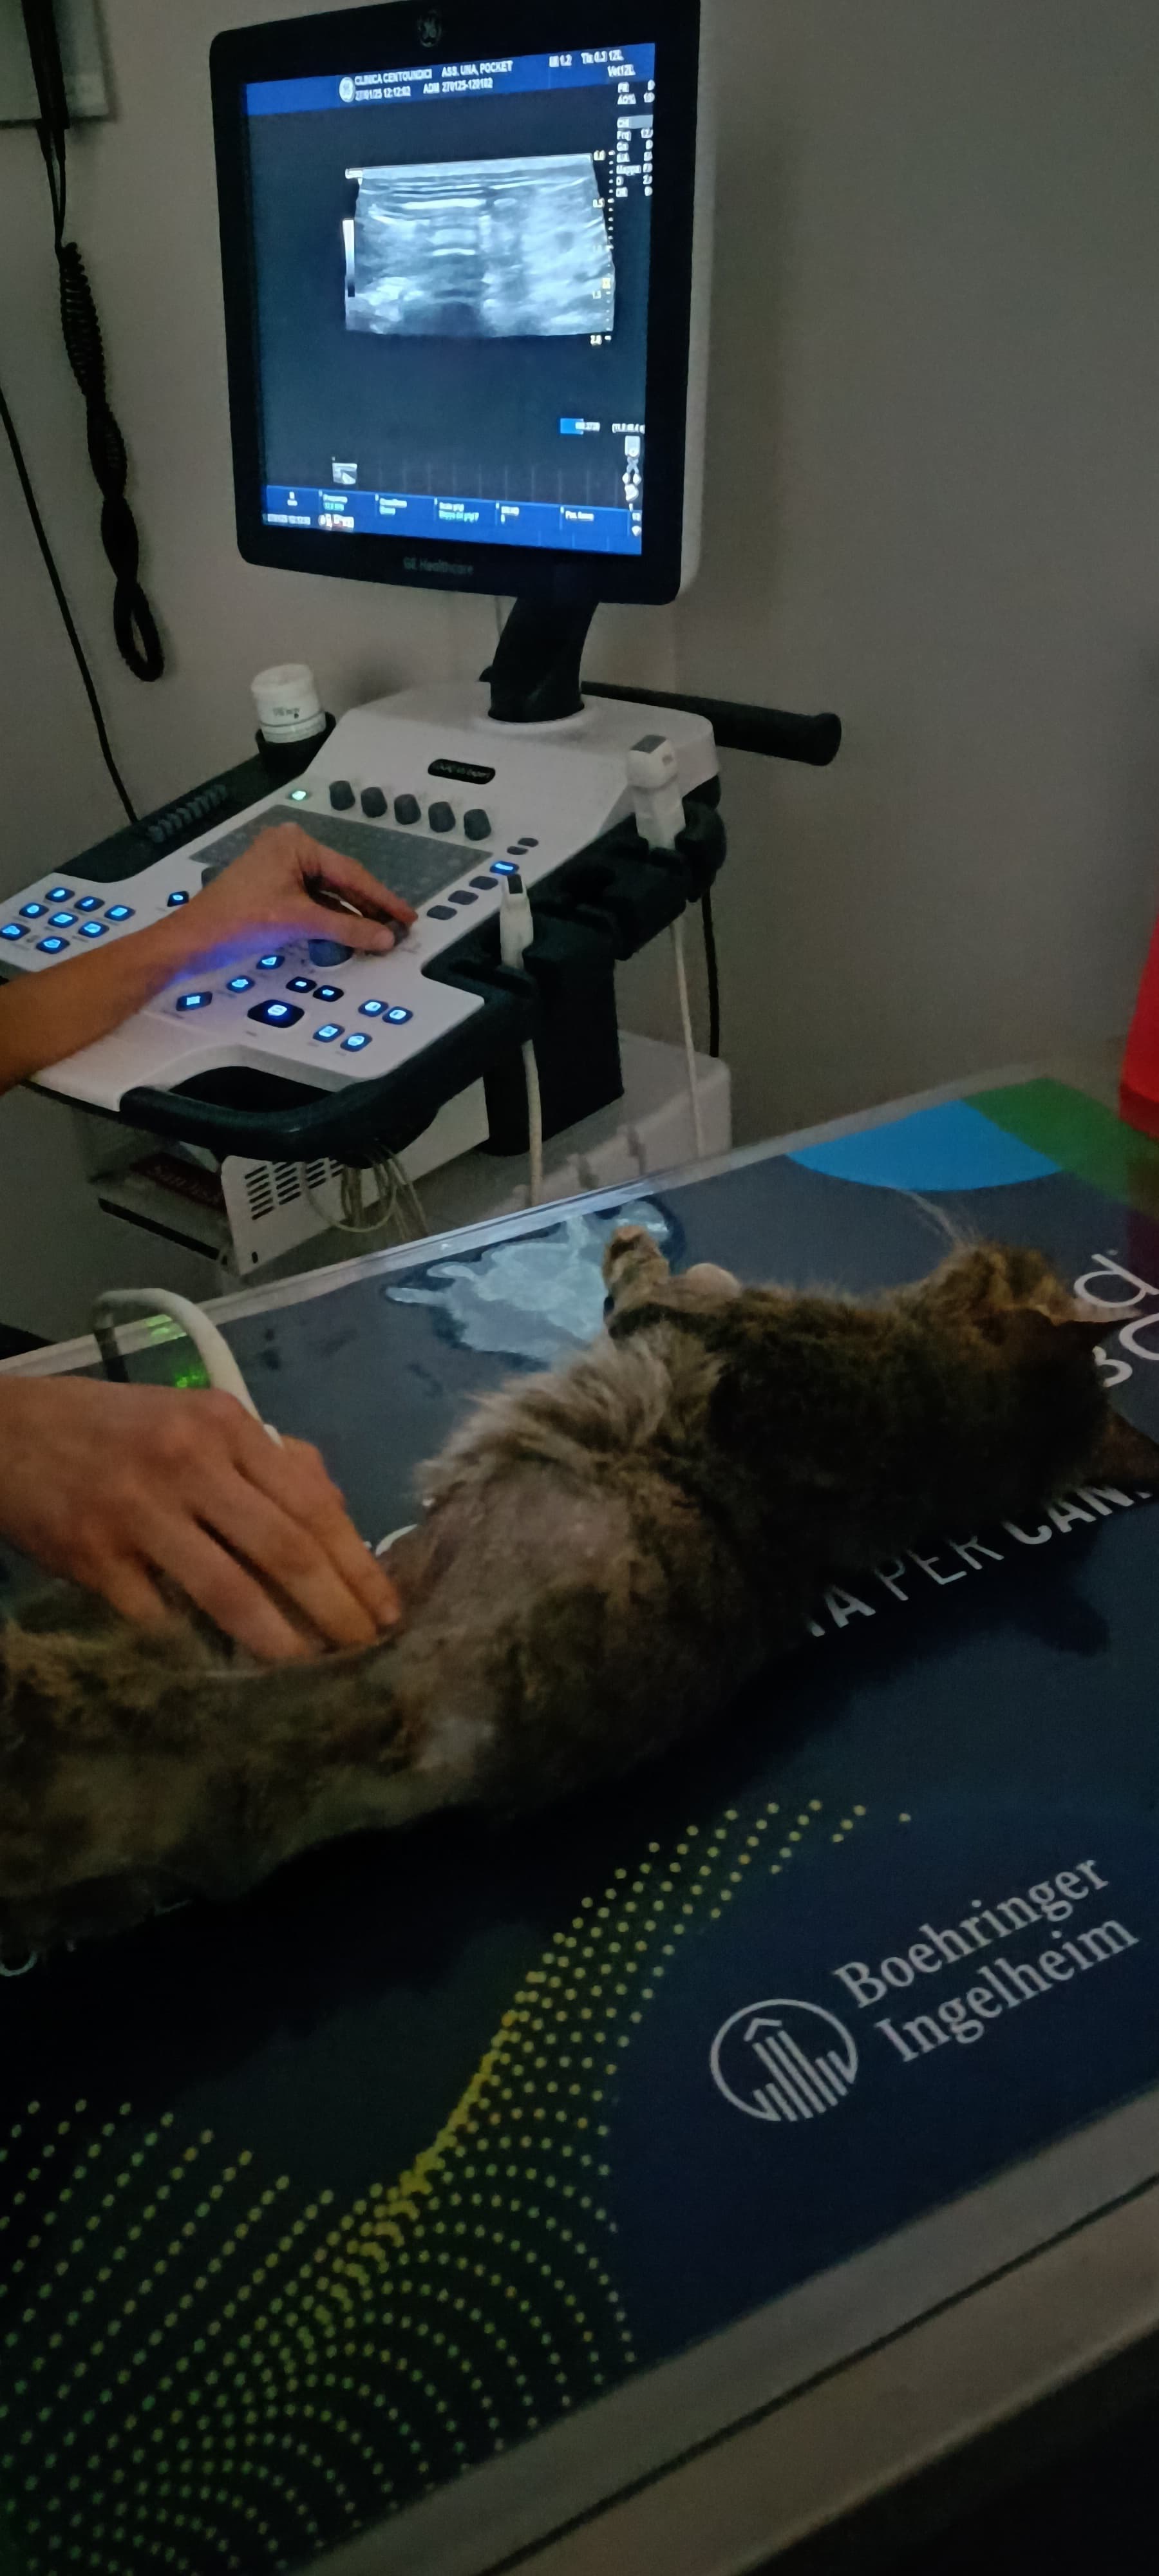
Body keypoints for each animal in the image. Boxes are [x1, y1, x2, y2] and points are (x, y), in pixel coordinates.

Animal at [0, 1229, 1153, 1962]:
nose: (996, 1241)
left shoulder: (702, 1323)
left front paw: (640, 1244)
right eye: (1024, 1260)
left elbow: (671, 1284)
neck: (939, 1424)